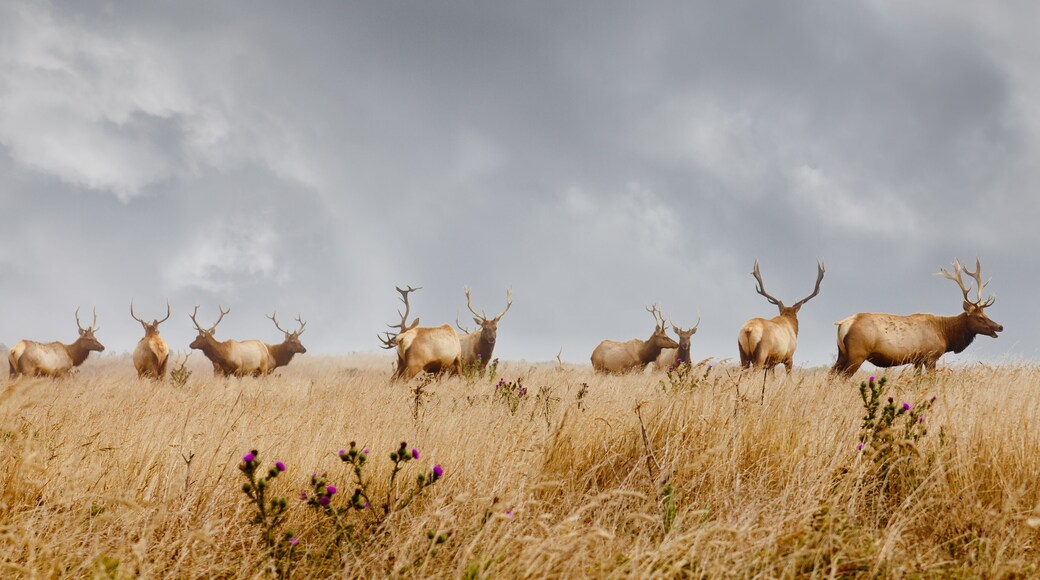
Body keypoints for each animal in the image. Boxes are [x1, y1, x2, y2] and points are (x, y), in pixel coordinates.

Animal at [831, 258, 1003, 377]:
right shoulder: (930, 356)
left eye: (986, 314)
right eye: (979, 317)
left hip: (842, 354)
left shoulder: (917, 360)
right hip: (857, 354)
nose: (1000, 326)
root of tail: (844, 324)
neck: (946, 335)